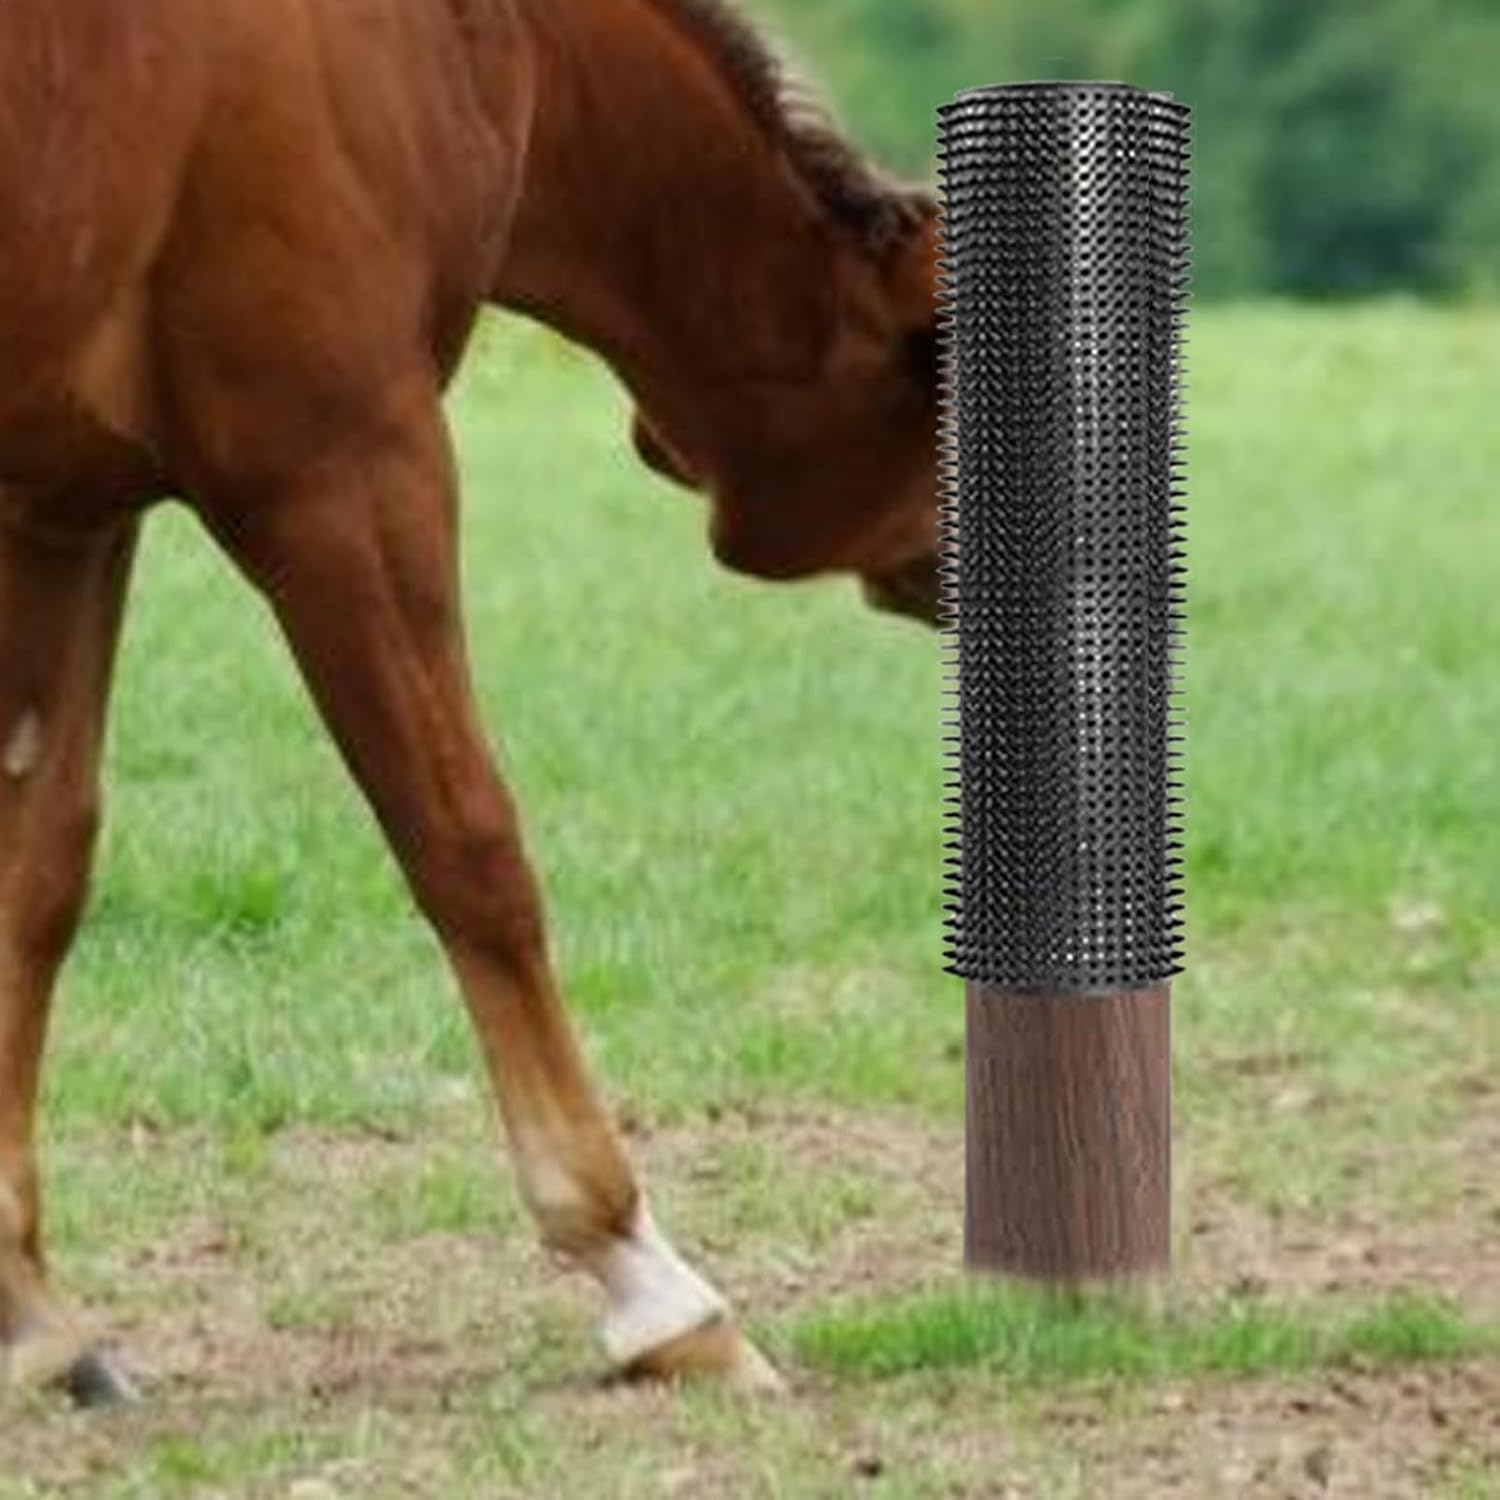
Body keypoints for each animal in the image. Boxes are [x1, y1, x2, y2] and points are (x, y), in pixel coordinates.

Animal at [0, 0, 939, 1402]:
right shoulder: (342, 473)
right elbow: (469, 847)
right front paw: (643, 1275)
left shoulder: (68, 512)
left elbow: (39, 874)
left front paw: (28, 1309)